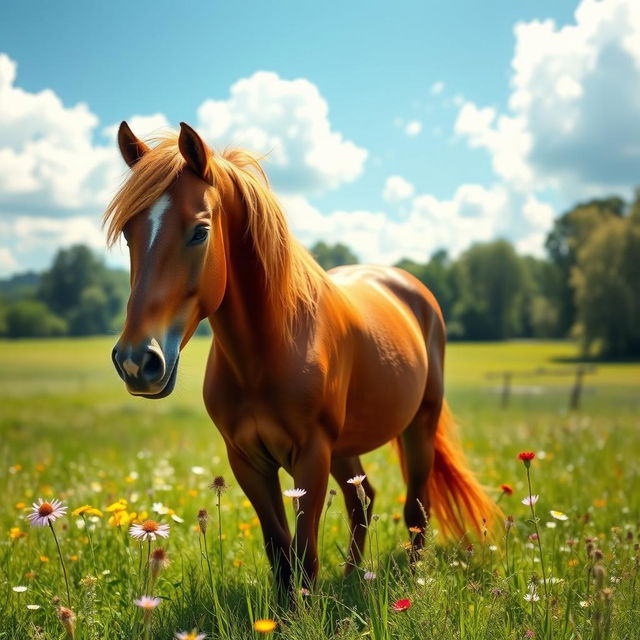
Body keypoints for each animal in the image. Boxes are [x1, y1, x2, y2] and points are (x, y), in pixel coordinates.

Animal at [105, 120, 498, 592]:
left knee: (416, 507)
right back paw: (352, 577)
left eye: (200, 231)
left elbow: (304, 554)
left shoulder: (310, 456)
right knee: (362, 500)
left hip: (418, 425)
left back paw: (412, 579)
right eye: (129, 233)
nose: (136, 361)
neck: (266, 354)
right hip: (345, 447)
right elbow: (279, 550)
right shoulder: (248, 460)